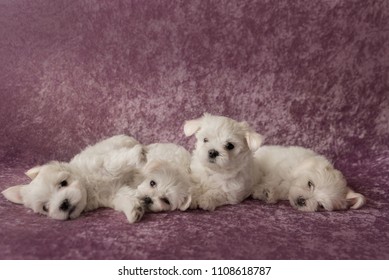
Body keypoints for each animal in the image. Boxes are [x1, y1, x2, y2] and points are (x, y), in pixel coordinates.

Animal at [1, 135, 146, 223]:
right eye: (45, 208)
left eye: (63, 183)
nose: (63, 204)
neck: (88, 185)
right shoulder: (113, 193)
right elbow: (124, 196)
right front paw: (134, 210)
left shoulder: (101, 163)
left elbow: (112, 165)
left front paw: (138, 154)